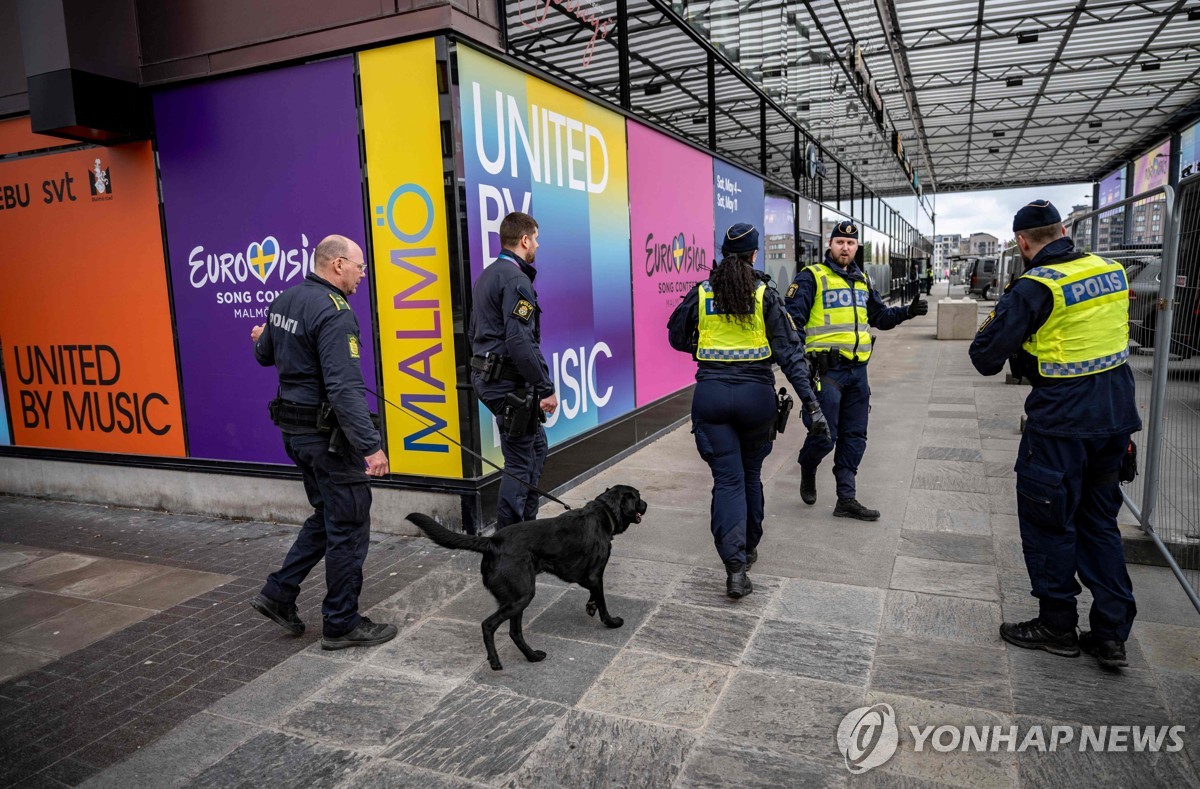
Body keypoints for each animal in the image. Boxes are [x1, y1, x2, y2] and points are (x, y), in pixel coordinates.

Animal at [405, 482, 648, 666]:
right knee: (489, 625)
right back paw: (495, 661)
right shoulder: (596, 574)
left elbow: (593, 594)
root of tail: (492, 542)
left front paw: (591, 606)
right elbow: (603, 602)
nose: (646, 504)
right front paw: (611, 621)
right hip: (522, 595)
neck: (604, 513)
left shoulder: (588, 577)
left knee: (514, 632)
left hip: (517, 598)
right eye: (638, 497)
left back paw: (532, 656)